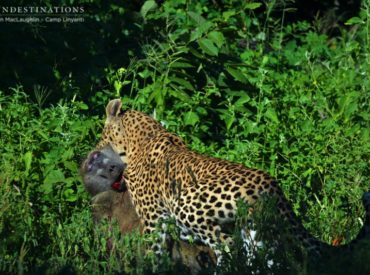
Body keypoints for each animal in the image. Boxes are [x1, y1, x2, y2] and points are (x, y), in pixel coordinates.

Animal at [96, 98, 370, 264]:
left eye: (101, 133)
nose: (96, 151)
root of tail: (271, 185)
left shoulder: (154, 220)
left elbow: (155, 253)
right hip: (255, 228)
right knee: (261, 259)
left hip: (188, 206)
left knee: (227, 246)